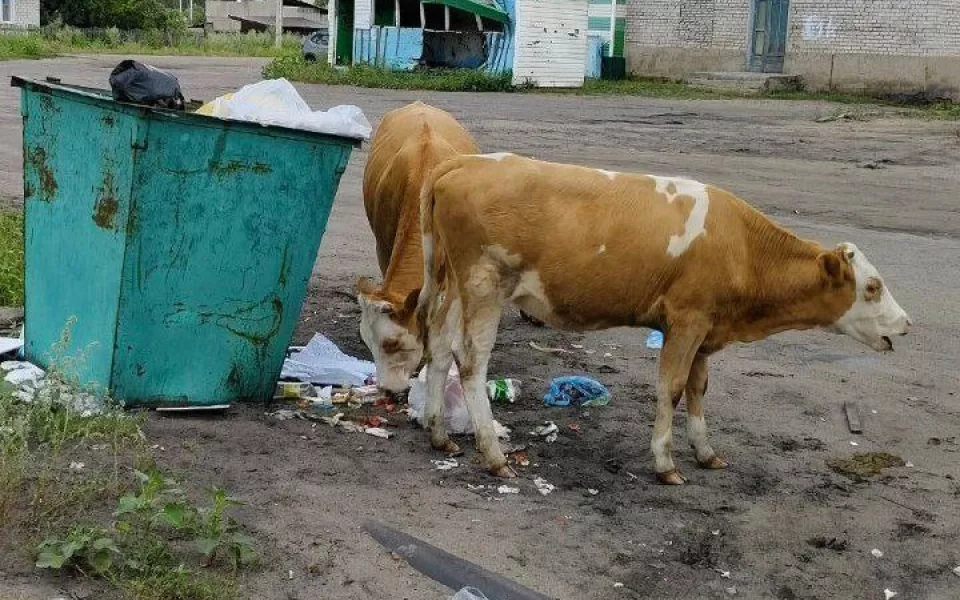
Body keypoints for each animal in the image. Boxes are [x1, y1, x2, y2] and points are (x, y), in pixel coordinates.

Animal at [416, 154, 912, 482]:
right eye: (872, 286)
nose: (906, 323)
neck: (742, 247)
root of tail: (466, 163)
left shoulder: (706, 328)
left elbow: (698, 387)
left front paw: (706, 451)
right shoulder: (687, 320)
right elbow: (670, 388)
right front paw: (665, 462)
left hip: (455, 284)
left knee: (439, 347)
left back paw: (439, 433)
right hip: (484, 285)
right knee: (472, 361)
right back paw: (493, 454)